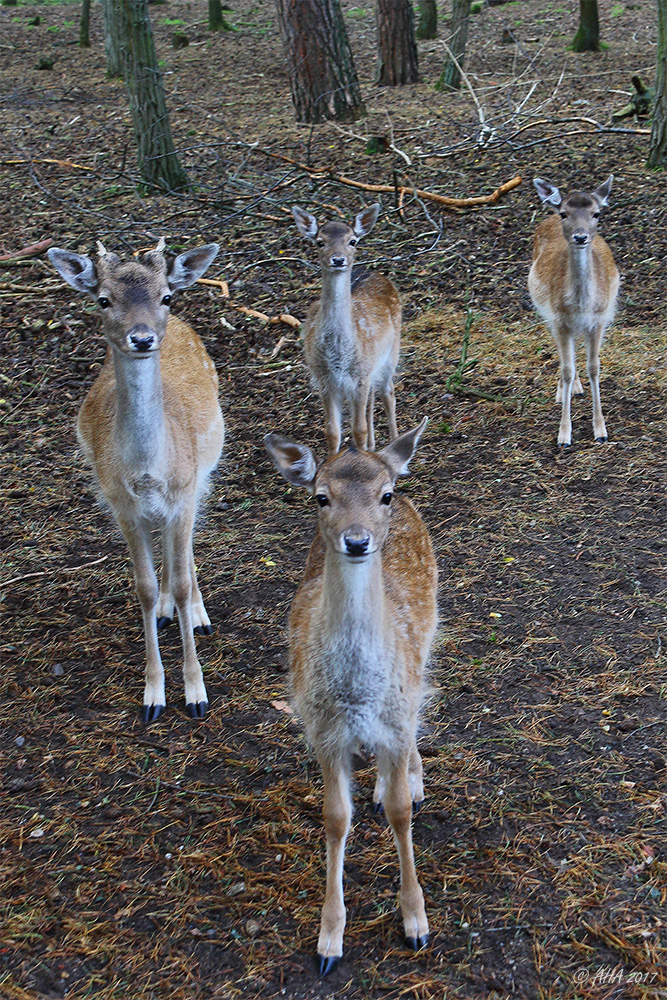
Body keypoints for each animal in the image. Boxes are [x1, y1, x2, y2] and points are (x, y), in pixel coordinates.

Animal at [48, 236, 224, 720]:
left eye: (165, 296)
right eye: (103, 299)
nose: (142, 337)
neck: (149, 471)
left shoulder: (183, 494)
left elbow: (180, 580)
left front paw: (196, 693)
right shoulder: (122, 506)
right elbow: (143, 588)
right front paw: (153, 694)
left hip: (202, 477)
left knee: (186, 548)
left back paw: (197, 614)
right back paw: (166, 611)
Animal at [264, 420, 440, 976]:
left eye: (383, 495)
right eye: (321, 496)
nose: (357, 540)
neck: (356, 693)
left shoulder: (394, 717)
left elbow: (402, 813)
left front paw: (416, 922)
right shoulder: (323, 730)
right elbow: (336, 818)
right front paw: (329, 938)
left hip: (424, 648)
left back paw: (407, 777)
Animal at [294, 205, 402, 456]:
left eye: (352, 241)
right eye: (320, 242)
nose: (338, 259)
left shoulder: (359, 377)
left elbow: (358, 430)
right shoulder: (325, 380)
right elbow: (332, 432)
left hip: (392, 353)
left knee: (388, 391)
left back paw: (395, 442)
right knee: (374, 395)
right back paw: (373, 445)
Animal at [528, 176, 620, 446]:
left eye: (596, 213)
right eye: (564, 213)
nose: (580, 237)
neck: (581, 305)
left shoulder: (598, 320)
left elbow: (594, 367)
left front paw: (600, 430)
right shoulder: (559, 320)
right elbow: (566, 368)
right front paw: (564, 435)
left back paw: (578, 388)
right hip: (548, 314)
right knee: (563, 358)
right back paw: (564, 392)